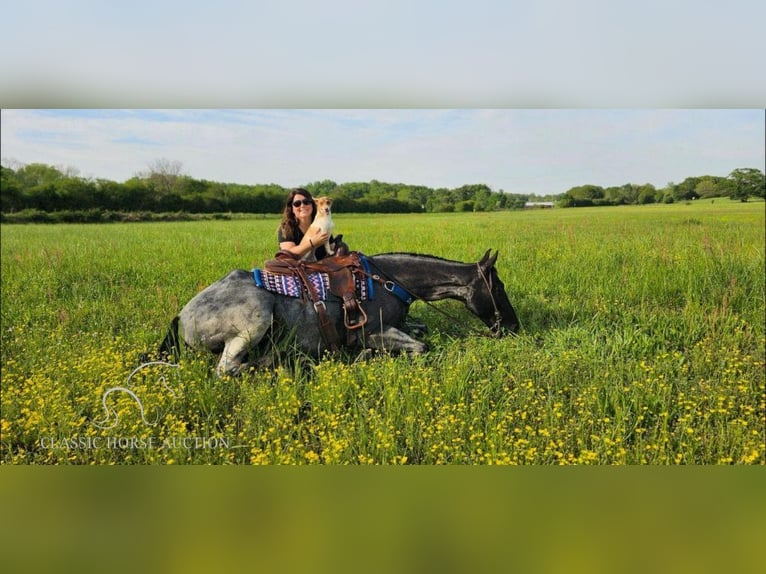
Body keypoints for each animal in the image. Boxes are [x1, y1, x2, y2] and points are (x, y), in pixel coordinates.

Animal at [160, 249, 520, 376]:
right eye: (499, 288)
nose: (513, 326)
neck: (391, 282)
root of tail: (181, 315)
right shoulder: (372, 332)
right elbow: (420, 346)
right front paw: (365, 356)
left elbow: (421, 331)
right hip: (255, 321)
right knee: (227, 369)